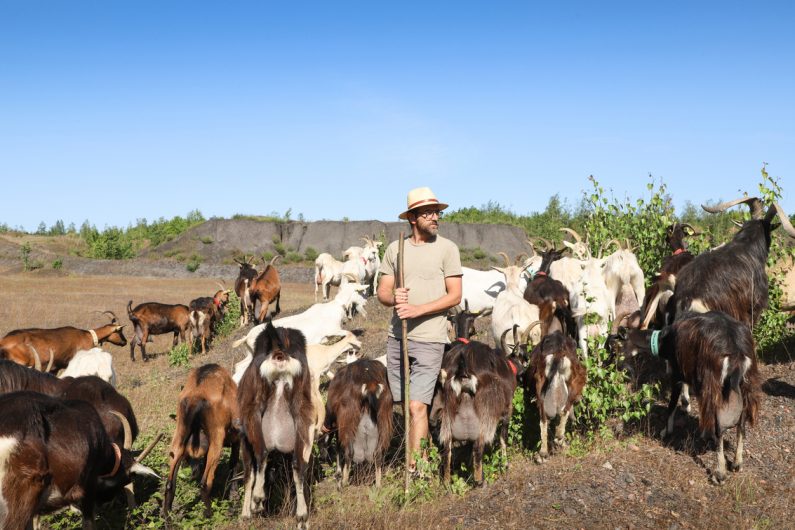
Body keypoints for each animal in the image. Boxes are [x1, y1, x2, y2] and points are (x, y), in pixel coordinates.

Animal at [165, 364, 243, 516]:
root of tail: (195, 397)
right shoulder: (237, 439)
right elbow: (234, 464)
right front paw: (233, 494)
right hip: (216, 438)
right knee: (205, 483)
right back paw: (209, 515)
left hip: (180, 434)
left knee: (170, 483)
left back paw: (166, 516)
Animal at [324, 356, 394, 484]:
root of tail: (370, 383)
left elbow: (338, 445)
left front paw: (338, 472)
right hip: (384, 417)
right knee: (378, 453)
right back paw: (378, 484)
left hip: (348, 418)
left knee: (349, 451)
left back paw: (344, 482)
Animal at [532, 330, 588, 462]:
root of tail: (557, 354)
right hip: (574, 383)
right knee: (564, 411)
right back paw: (561, 440)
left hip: (540, 384)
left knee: (543, 418)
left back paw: (543, 453)